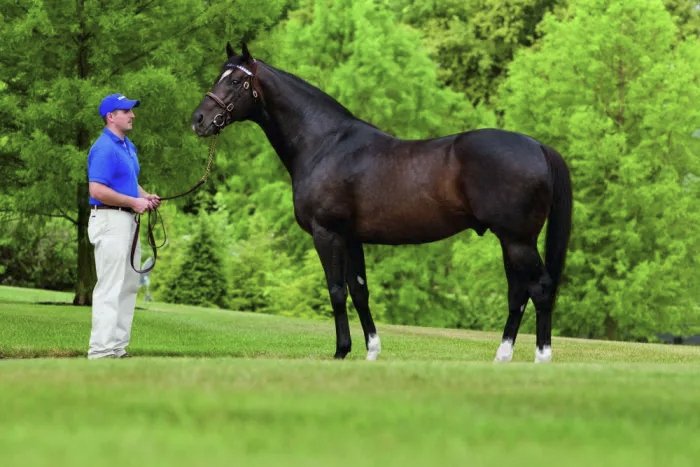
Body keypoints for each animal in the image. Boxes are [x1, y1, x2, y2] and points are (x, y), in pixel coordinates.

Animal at [191, 43, 572, 363]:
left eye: (236, 81)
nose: (198, 120)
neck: (325, 144)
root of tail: (539, 147)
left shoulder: (327, 233)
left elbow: (336, 291)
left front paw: (341, 351)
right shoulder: (351, 238)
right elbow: (360, 291)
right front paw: (371, 351)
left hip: (518, 240)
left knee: (540, 288)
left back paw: (542, 357)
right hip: (511, 241)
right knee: (518, 293)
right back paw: (502, 356)